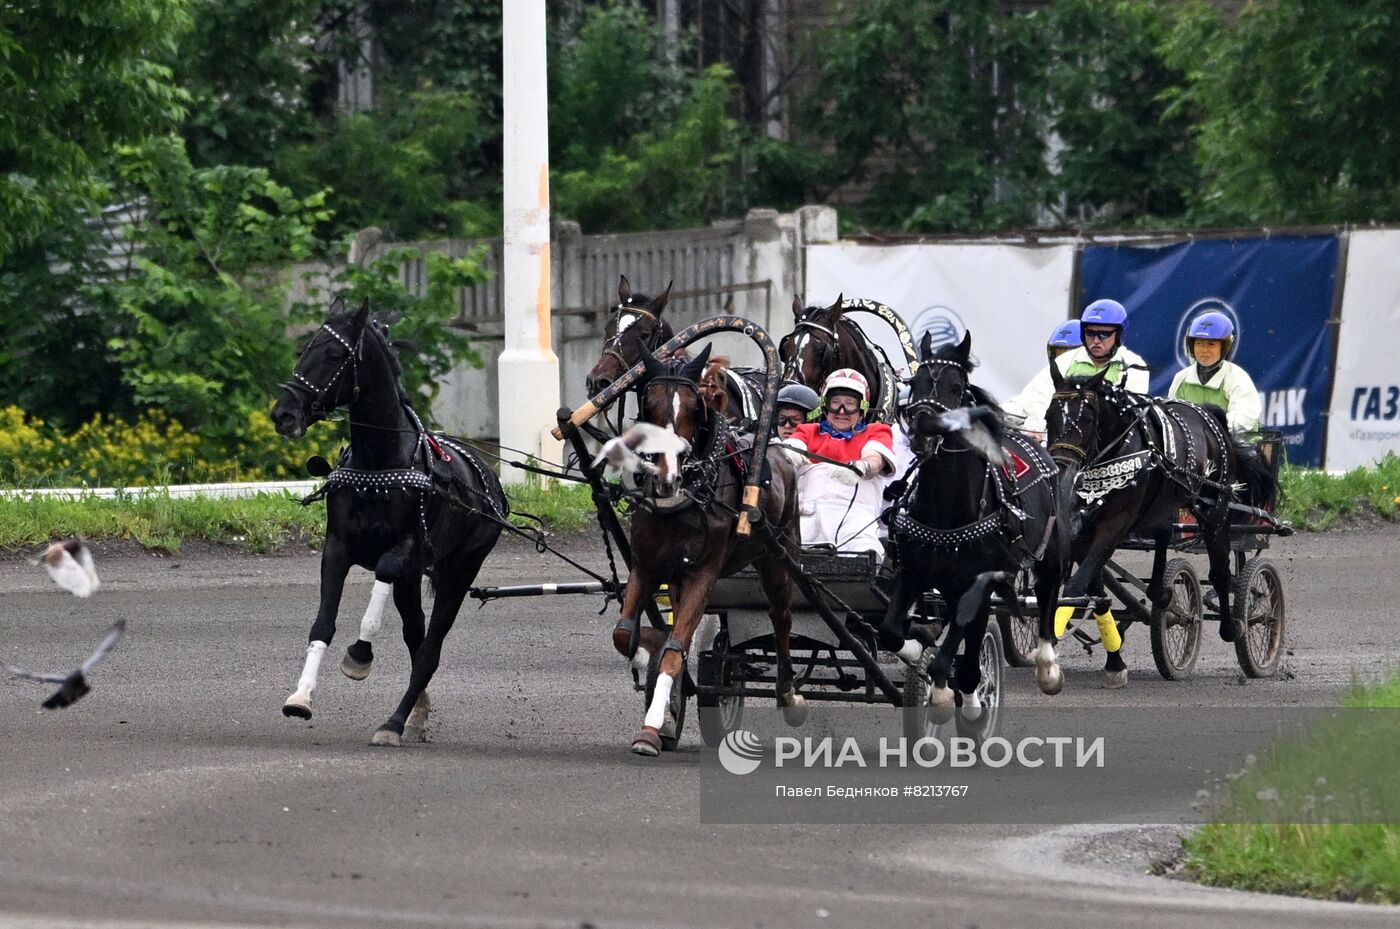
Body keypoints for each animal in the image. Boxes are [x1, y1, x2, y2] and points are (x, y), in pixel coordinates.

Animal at [267, 298, 504, 749]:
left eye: (335, 355)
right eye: (305, 349)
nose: (283, 414)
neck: (380, 464)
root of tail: (490, 482)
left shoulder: (405, 551)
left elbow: (381, 581)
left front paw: (359, 656)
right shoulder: (337, 548)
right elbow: (323, 623)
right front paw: (300, 698)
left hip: (459, 570)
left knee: (429, 649)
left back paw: (393, 722)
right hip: (415, 580)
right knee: (416, 635)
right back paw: (416, 713)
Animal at [610, 341, 806, 755]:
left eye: (691, 404)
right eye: (649, 404)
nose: (666, 476)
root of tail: (779, 448)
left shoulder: (704, 573)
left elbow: (674, 651)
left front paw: (651, 726)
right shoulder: (647, 566)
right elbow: (624, 634)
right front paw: (646, 655)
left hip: (778, 557)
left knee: (781, 616)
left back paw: (788, 693)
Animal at [879, 334, 1064, 716]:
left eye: (955, 387)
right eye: (915, 383)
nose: (922, 431)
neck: (946, 511)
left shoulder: (976, 584)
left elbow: (956, 650)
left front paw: (945, 693)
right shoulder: (913, 572)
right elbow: (890, 631)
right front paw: (919, 648)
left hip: (1049, 553)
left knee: (1047, 593)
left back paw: (1045, 667)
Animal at [1047, 366, 1276, 685]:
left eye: (1087, 419)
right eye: (1048, 416)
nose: (1061, 467)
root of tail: (1208, 415)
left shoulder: (1115, 525)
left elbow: (1076, 586)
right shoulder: (1082, 533)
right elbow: (1096, 591)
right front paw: (1114, 660)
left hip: (1215, 510)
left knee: (1220, 572)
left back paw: (1233, 626)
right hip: (1164, 503)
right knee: (1163, 534)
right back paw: (1160, 592)